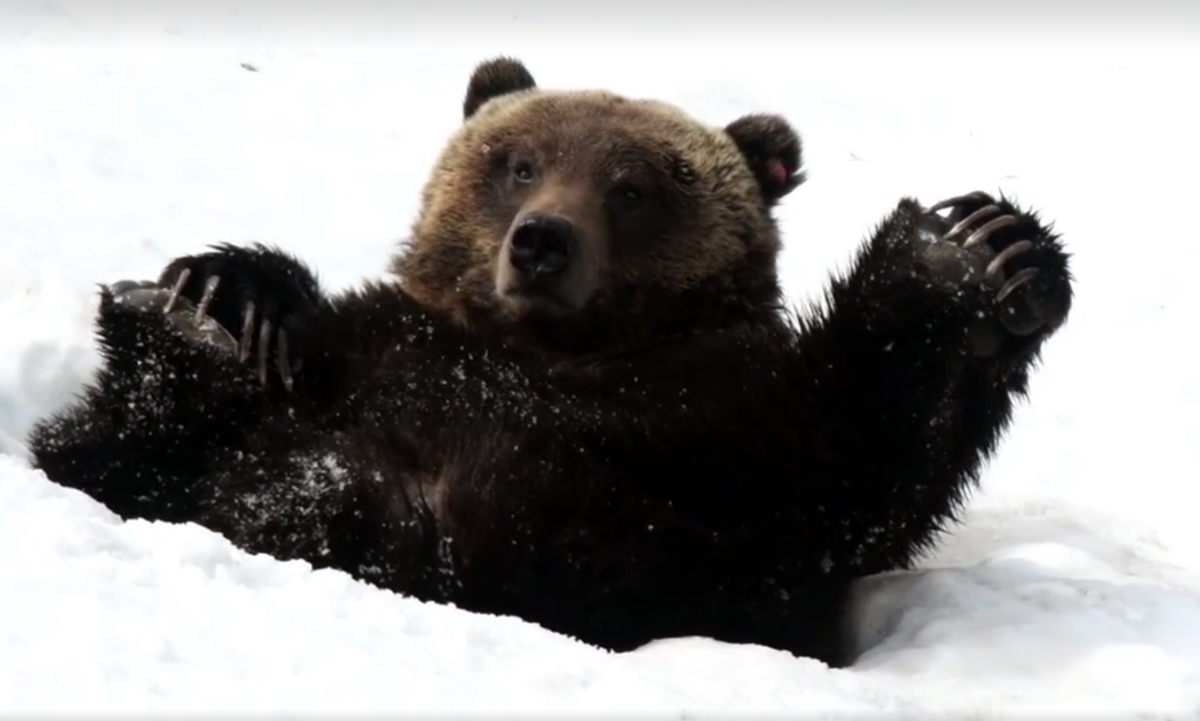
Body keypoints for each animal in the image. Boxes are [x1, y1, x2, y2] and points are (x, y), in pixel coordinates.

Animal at [27, 56, 1073, 667]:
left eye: (633, 186)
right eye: (520, 161)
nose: (541, 242)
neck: (547, 351)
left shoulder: (711, 443)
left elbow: (856, 469)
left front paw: (976, 249)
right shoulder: (380, 352)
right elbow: (90, 465)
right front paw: (229, 287)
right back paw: (187, 324)